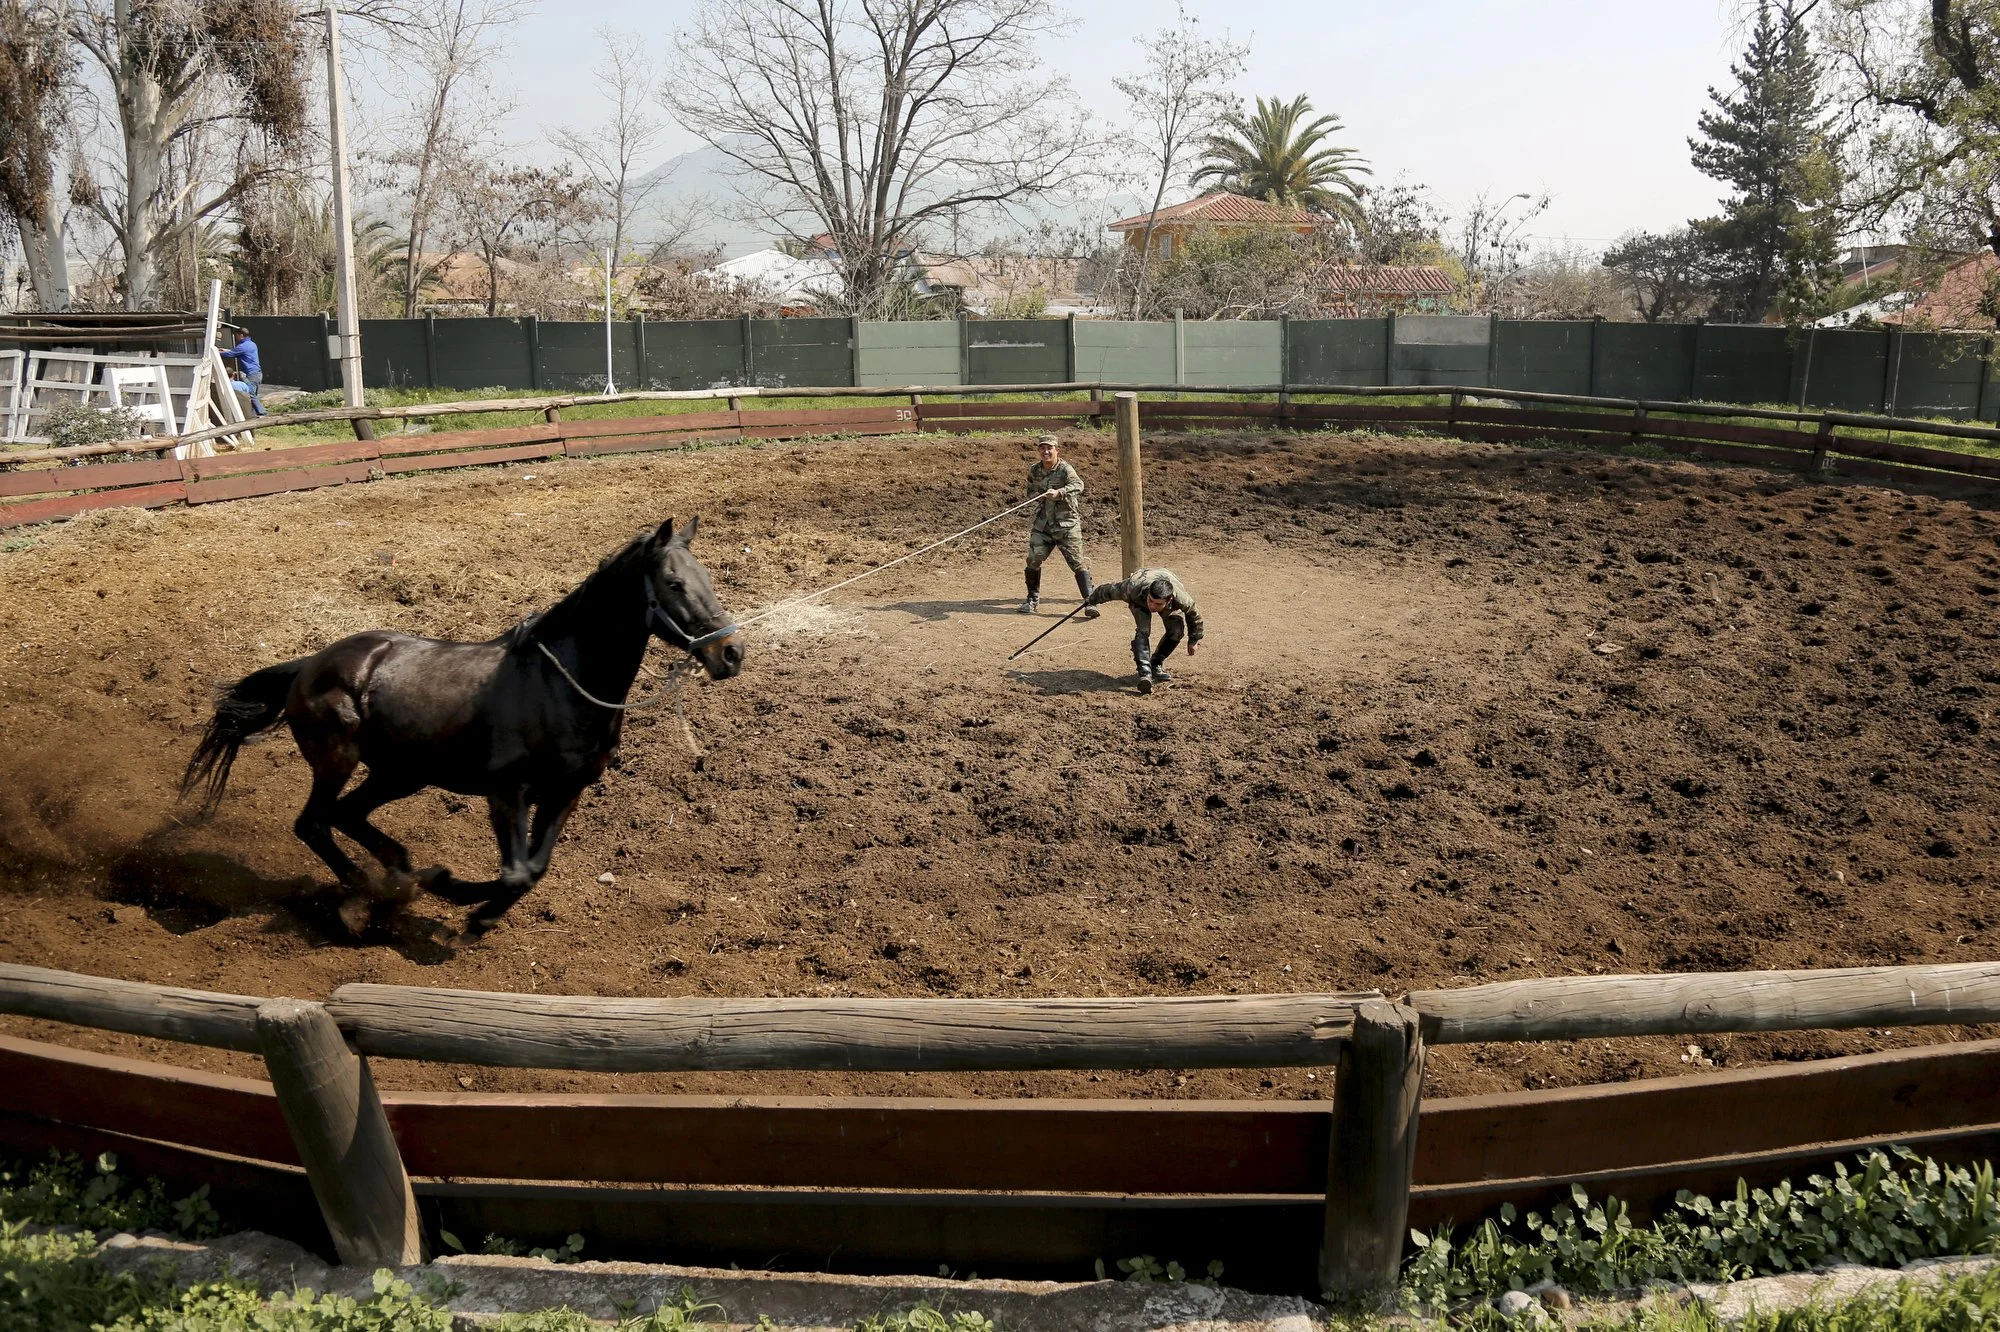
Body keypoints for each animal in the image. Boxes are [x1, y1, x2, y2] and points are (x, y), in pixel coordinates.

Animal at [180, 517, 744, 937]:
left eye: (709, 579)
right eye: (674, 584)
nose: (730, 653)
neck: (557, 683)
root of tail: (310, 665)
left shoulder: (567, 789)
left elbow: (533, 871)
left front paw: (463, 901)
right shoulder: (506, 790)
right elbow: (514, 873)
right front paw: (463, 903)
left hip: (401, 774)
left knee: (346, 815)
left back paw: (404, 874)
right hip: (338, 759)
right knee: (314, 823)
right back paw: (372, 895)